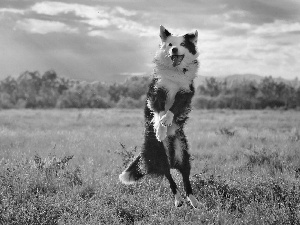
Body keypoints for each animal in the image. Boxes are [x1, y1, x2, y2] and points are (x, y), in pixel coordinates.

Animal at [119, 25, 199, 208]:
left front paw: (167, 120)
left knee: (185, 177)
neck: (175, 72)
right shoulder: (157, 92)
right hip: (159, 154)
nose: (174, 49)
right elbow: (160, 112)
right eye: (169, 44)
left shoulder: (185, 93)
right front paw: (161, 130)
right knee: (169, 177)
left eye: (182, 44)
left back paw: (193, 200)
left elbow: (173, 109)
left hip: (182, 153)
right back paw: (178, 200)